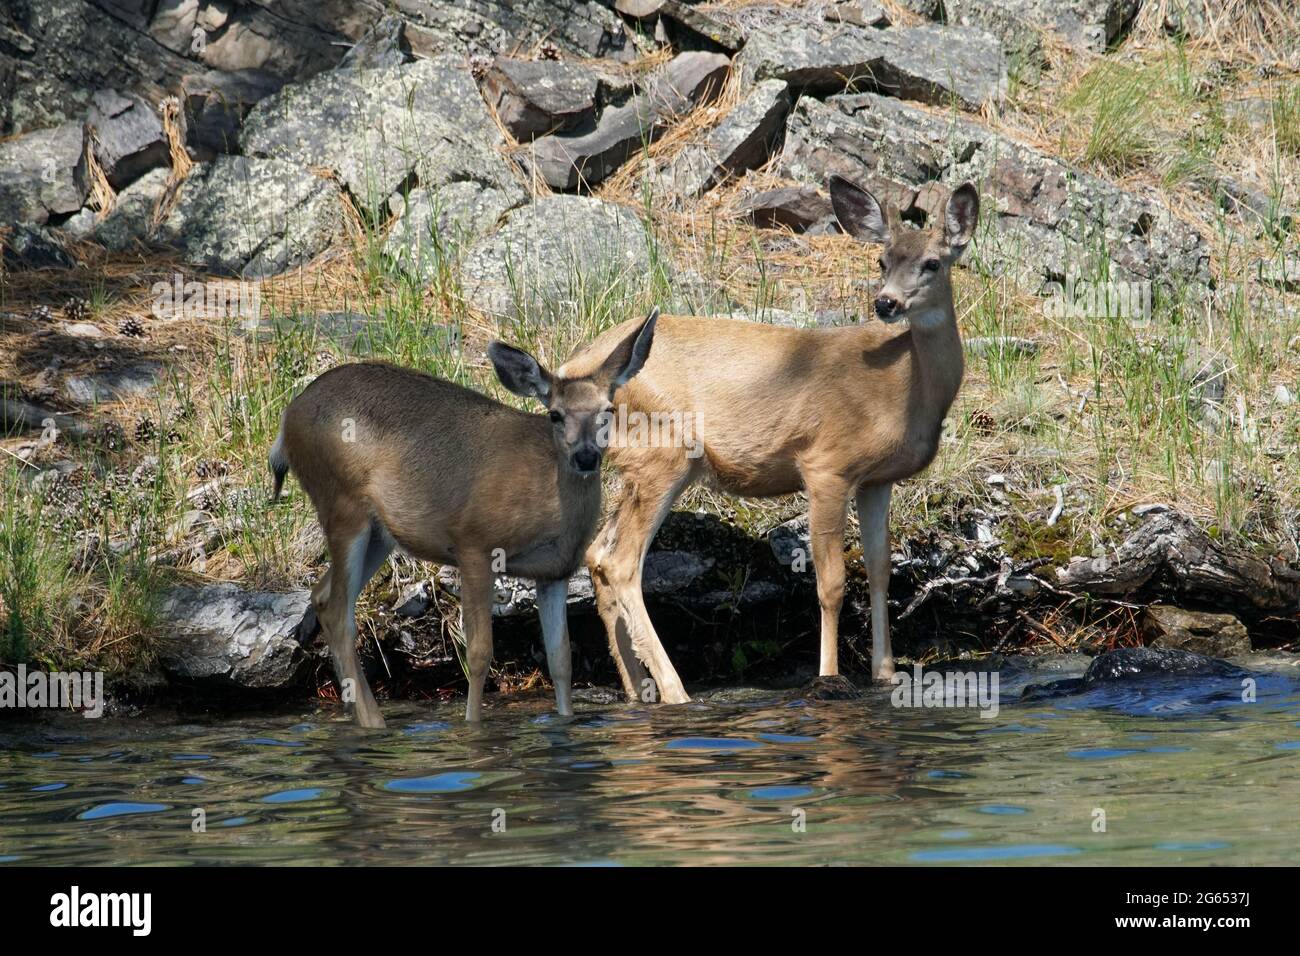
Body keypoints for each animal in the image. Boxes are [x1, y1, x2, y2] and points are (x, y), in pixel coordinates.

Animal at [271, 312, 660, 723]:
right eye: (555, 414)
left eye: (608, 411)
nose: (585, 457)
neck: (548, 508)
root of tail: (287, 420)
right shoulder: (474, 543)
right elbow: (478, 653)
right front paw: (472, 726)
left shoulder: (556, 571)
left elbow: (561, 661)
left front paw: (565, 720)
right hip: (341, 503)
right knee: (337, 611)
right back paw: (374, 722)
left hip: (378, 532)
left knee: (321, 596)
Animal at [564, 178, 977, 702]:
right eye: (881, 261)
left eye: (932, 263)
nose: (885, 303)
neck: (906, 386)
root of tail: (571, 369)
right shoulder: (826, 464)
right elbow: (832, 582)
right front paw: (829, 676)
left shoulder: (876, 479)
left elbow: (880, 569)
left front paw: (885, 673)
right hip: (663, 452)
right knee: (621, 562)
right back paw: (677, 691)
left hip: (635, 465)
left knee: (597, 554)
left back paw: (638, 689)